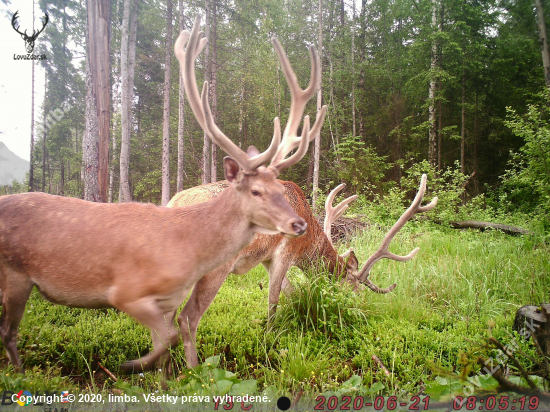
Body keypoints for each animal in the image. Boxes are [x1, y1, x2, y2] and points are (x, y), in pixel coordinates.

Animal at [0, 16, 320, 374]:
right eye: (255, 190)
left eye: (281, 189)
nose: (299, 224)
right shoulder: (131, 292)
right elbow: (173, 334)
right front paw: (172, 371)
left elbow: (168, 340)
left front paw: (174, 375)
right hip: (14, 275)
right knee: (8, 332)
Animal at [170, 175, 438, 368]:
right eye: (354, 290)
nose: (360, 312)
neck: (308, 241)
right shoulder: (285, 253)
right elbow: (274, 299)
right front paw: (270, 339)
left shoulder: (266, 258)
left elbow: (290, 293)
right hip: (215, 265)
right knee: (188, 317)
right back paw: (193, 370)